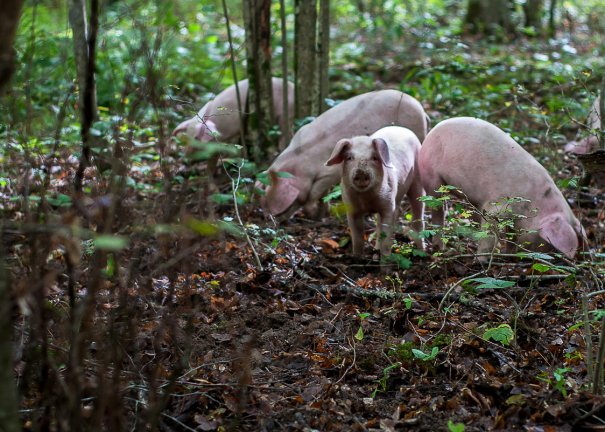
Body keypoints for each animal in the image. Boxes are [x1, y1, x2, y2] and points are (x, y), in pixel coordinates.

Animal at [262, 90, 428, 219]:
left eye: (285, 205)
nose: (272, 219)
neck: (300, 165)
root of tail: (421, 109)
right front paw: (323, 213)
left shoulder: (328, 173)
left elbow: (314, 193)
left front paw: (315, 215)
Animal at [326, 126, 424, 258]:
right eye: (349, 158)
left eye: (374, 158)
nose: (361, 172)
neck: (366, 199)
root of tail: (402, 128)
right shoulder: (351, 208)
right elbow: (357, 238)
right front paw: (357, 257)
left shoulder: (388, 206)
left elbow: (386, 236)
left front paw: (385, 260)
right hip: (397, 197)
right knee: (380, 225)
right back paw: (376, 251)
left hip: (418, 179)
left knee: (418, 212)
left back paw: (422, 251)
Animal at [418, 116, 584, 258]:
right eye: (547, 242)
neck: (533, 202)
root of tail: (434, 129)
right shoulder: (497, 205)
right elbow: (490, 233)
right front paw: (482, 260)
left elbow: (512, 233)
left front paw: (508, 254)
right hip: (431, 177)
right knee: (438, 209)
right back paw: (439, 248)